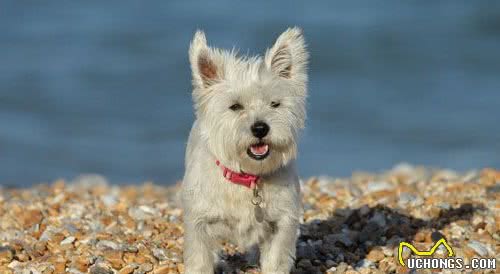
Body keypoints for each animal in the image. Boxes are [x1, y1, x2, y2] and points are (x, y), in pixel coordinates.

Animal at [183, 27, 308, 274]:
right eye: (235, 106)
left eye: (275, 104)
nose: (260, 128)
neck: (248, 177)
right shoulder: (199, 221)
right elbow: (200, 259)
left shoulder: (282, 222)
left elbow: (276, 260)